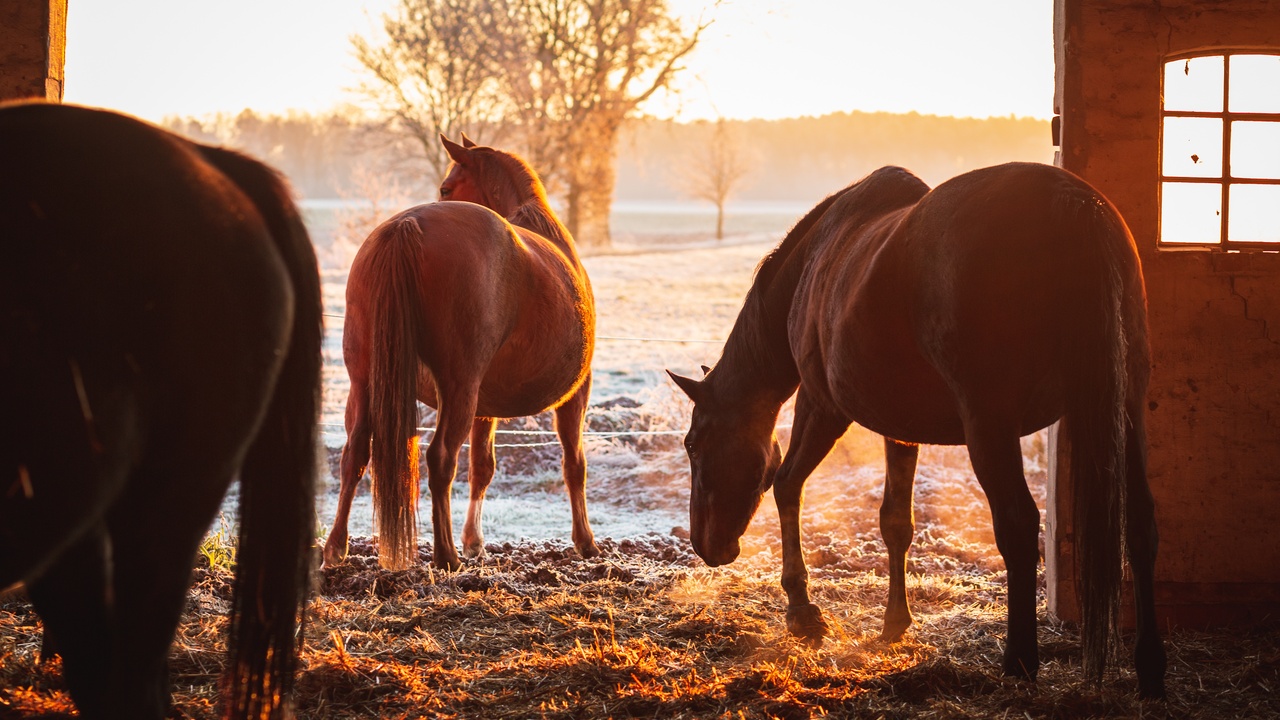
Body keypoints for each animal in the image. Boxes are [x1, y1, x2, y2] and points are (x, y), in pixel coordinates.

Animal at [322, 134, 598, 572]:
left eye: (446, 187)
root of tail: (406, 226)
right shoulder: (576, 392)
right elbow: (575, 465)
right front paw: (585, 542)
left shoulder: (485, 405)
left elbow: (482, 467)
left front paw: (475, 542)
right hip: (458, 388)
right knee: (440, 458)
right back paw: (446, 554)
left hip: (364, 382)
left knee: (355, 455)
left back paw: (336, 547)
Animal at [667, 162, 1166, 698]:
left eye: (693, 444)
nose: (705, 545)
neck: (812, 265)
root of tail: (1072, 205)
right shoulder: (900, 429)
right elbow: (895, 523)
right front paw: (894, 622)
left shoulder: (821, 407)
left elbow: (785, 485)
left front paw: (803, 613)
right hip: (1124, 406)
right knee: (1140, 522)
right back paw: (1150, 666)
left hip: (990, 425)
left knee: (1017, 524)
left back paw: (1019, 661)